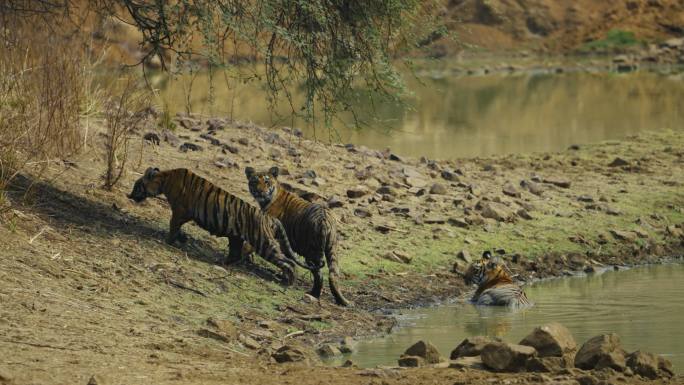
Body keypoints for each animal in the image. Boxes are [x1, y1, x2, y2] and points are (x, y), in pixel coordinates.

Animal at [129, 166, 316, 284]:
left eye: (136, 185)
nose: (129, 195)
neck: (164, 179)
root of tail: (270, 218)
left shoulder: (179, 211)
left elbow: (173, 226)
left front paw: (168, 240)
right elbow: (178, 229)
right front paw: (182, 238)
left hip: (264, 243)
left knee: (288, 262)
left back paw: (288, 282)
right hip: (237, 238)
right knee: (235, 254)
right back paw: (222, 262)